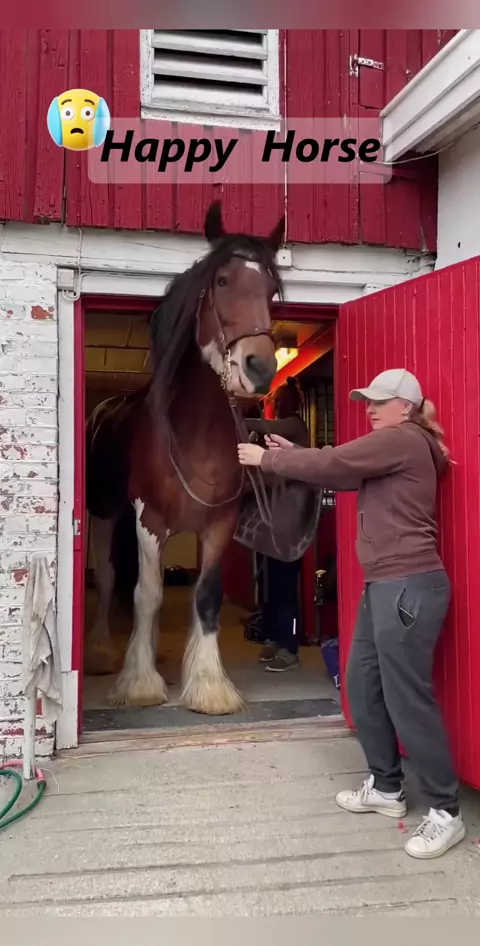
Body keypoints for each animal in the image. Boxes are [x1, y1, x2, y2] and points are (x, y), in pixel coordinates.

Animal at [84, 201, 285, 715]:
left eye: (272, 290)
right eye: (222, 281)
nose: (260, 367)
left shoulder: (219, 524)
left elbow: (206, 596)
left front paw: (209, 685)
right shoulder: (148, 519)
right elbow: (148, 595)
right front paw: (140, 683)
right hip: (105, 514)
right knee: (110, 579)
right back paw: (102, 651)